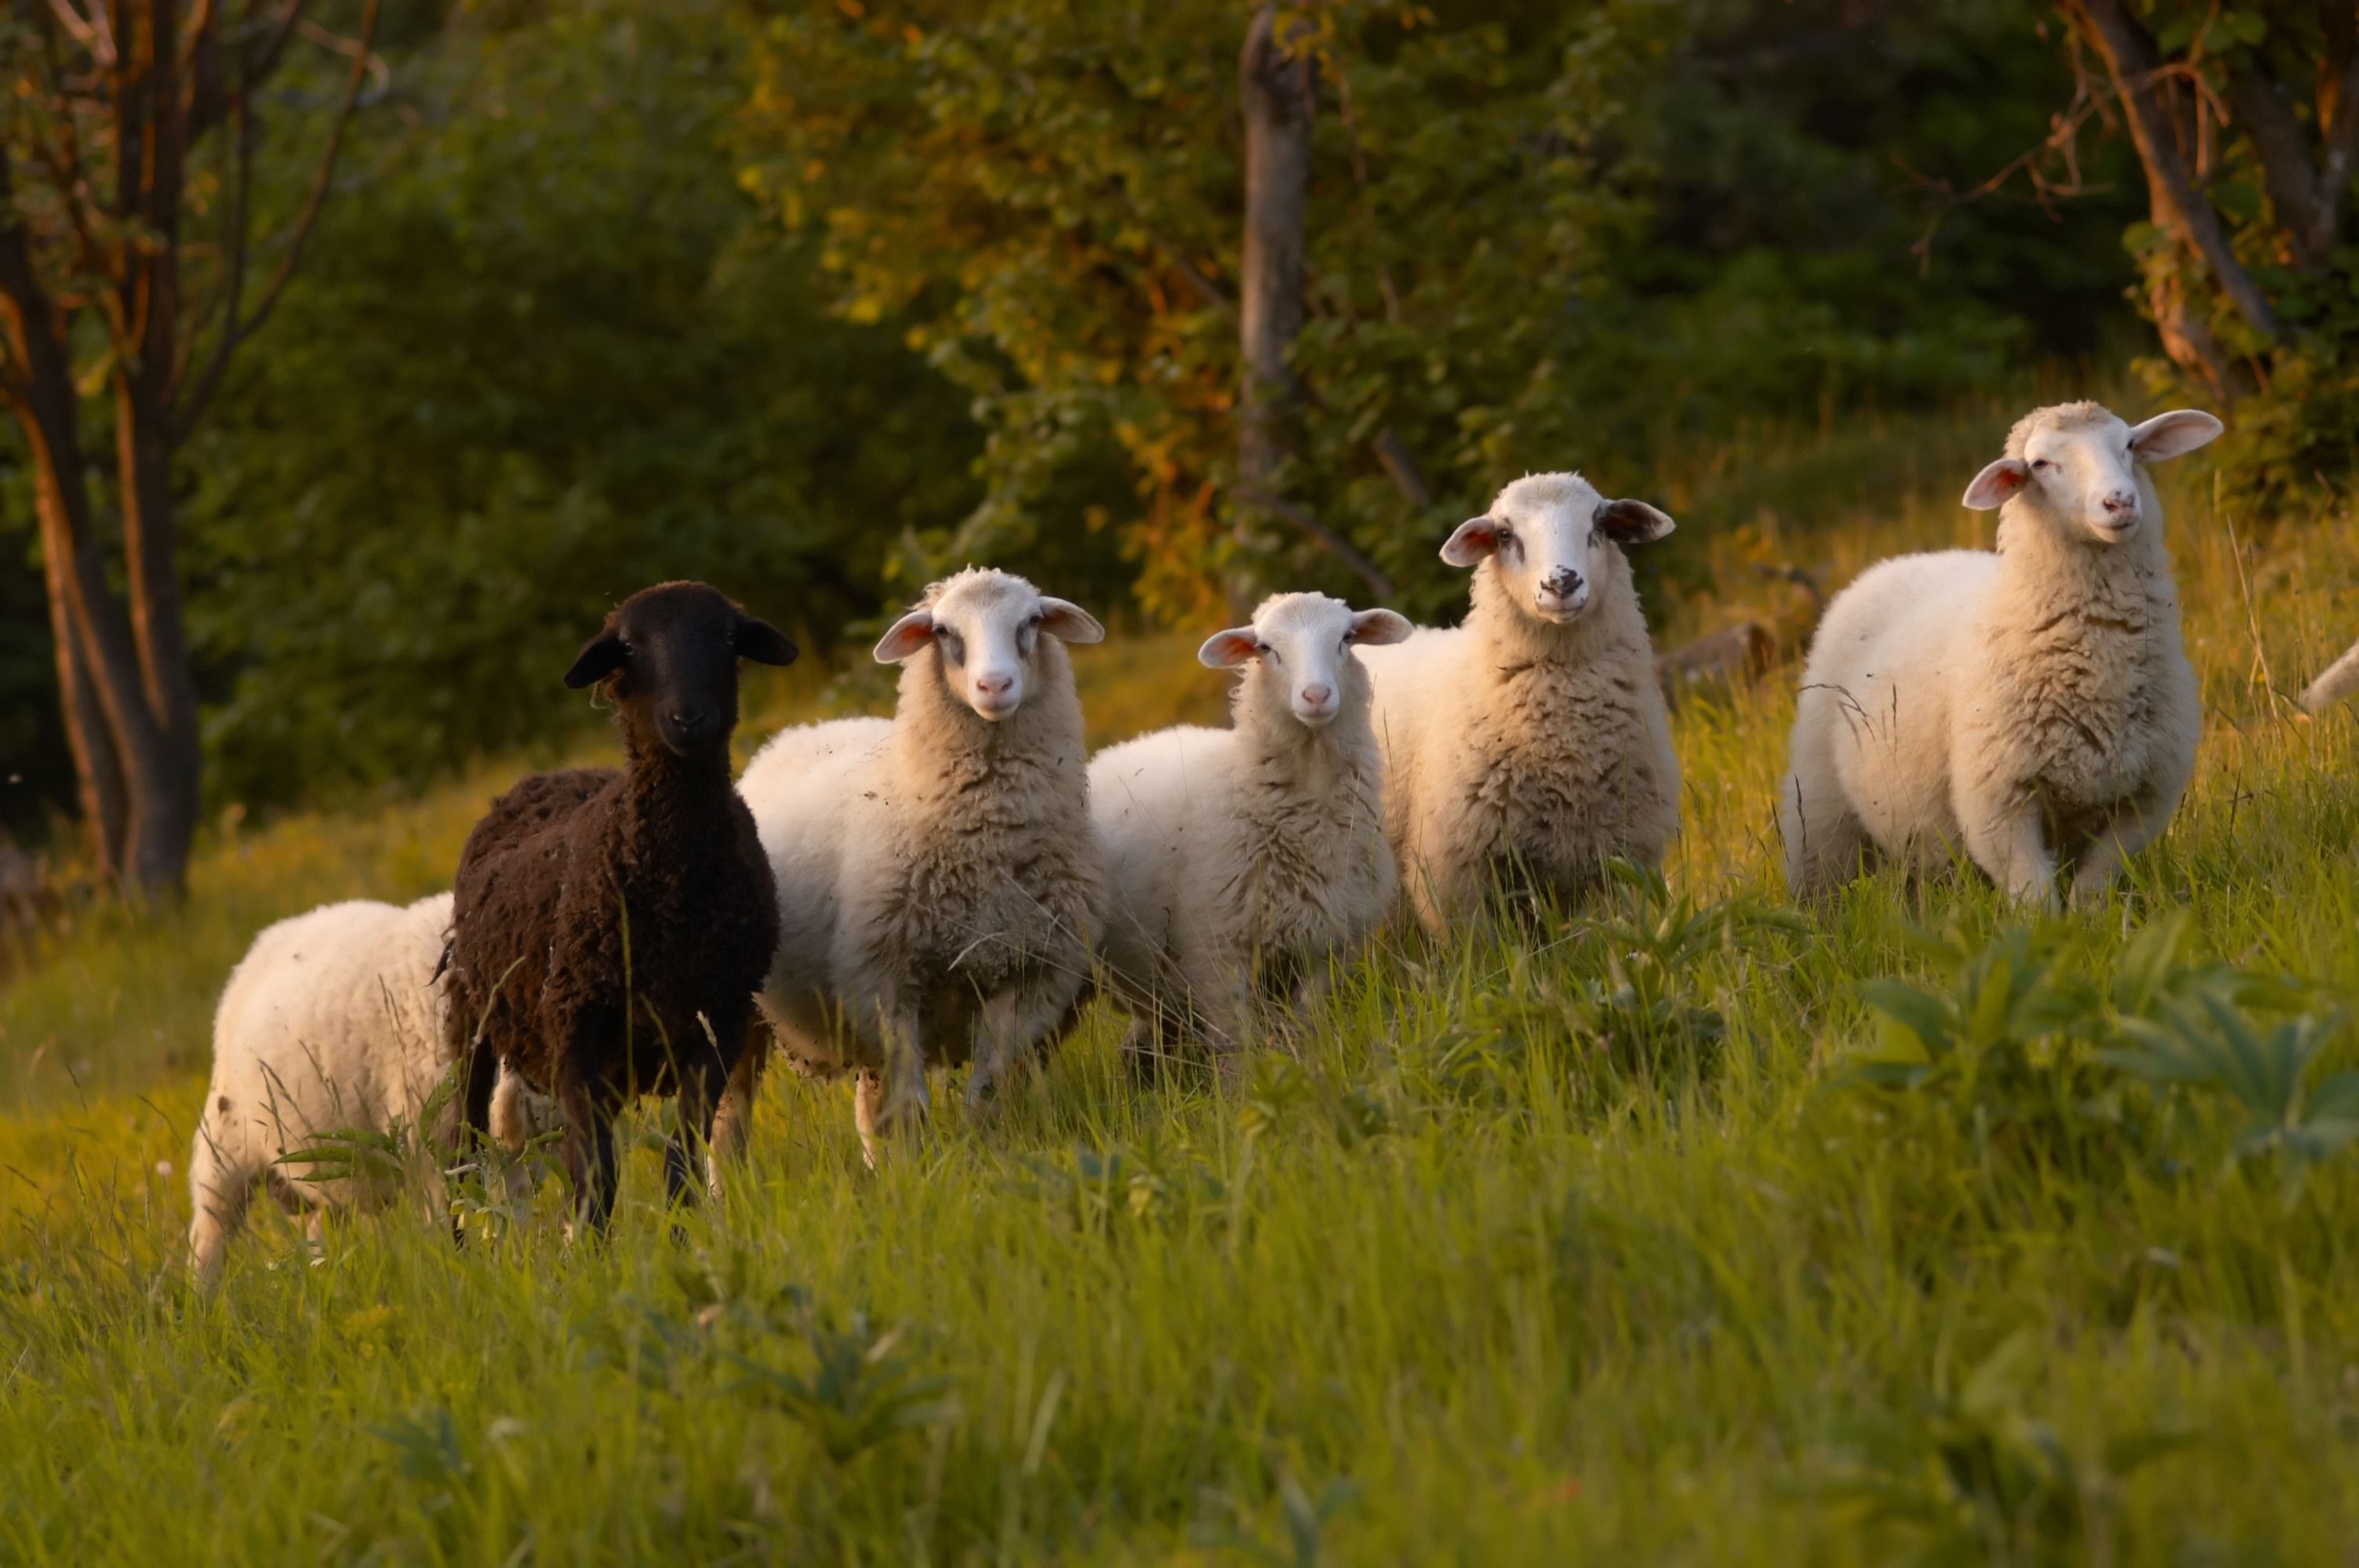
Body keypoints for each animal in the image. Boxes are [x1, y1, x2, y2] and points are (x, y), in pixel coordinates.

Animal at [444, 581, 795, 1235]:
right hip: (471, 1024)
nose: (688, 718)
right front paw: (592, 1250)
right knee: (461, 1145)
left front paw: (682, 1240)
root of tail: (549, 776)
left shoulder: (717, 1026)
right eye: (629, 646)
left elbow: (680, 1161)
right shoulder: (575, 1031)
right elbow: (597, 1174)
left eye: (727, 637)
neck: (676, 890)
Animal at [732, 567, 1106, 1164]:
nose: (994, 686)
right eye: (943, 631)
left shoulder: (1029, 976)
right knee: (727, 1124)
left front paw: (978, 1158)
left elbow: (984, 1092)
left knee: (869, 1109)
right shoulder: (886, 980)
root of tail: (793, 734)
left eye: (1030, 622)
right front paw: (923, 1171)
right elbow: (912, 1106)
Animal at [1089, 592, 1409, 1076]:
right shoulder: (1217, 954)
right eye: (1265, 648)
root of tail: (1115, 750)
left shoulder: (1329, 948)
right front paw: (1241, 1091)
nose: (1316, 695)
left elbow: (1306, 1026)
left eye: (1346, 638)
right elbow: (1234, 1047)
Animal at [1778, 401, 2223, 908]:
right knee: (1821, 881)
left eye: (2129, 444)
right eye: (2040, 464)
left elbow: (2093, 888)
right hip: (1819, 810)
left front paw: (2093, 923)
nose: (2120, 502)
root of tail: (1897, 561)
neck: (2097, 668)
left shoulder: (2142, 800)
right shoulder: (1999, 800)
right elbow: (2033, 893)